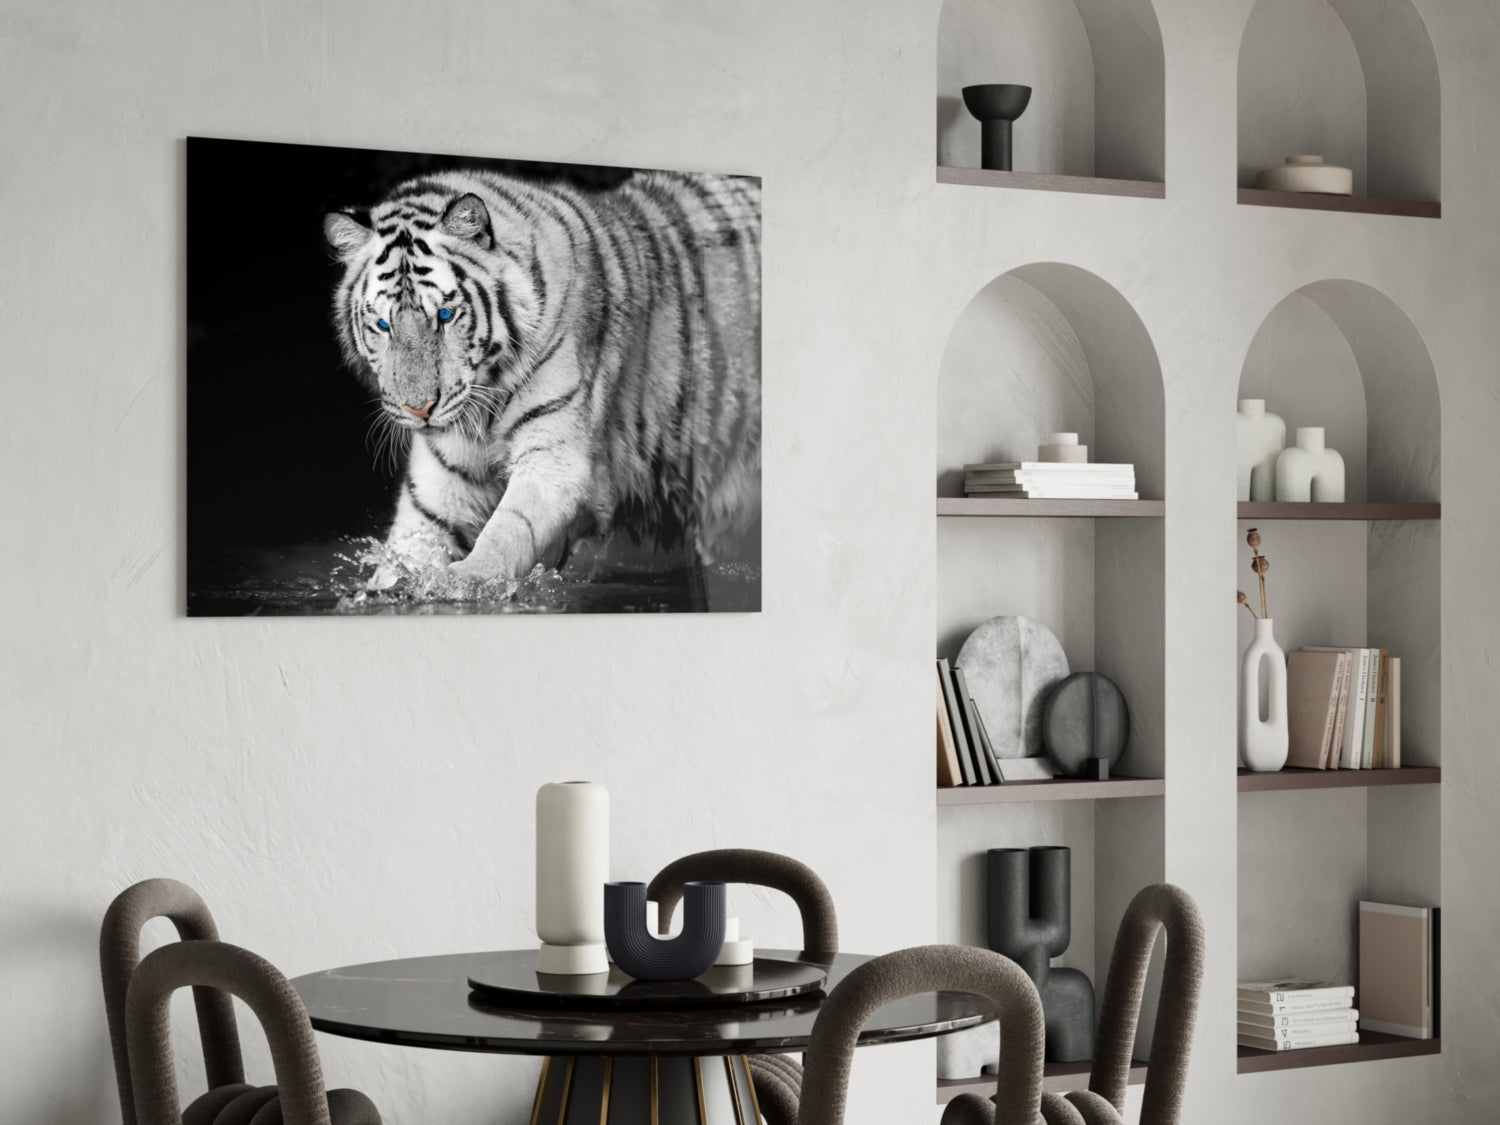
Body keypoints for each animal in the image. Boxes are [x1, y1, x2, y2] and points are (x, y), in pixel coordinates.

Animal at [322, 164, 761, 593]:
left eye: (445, 316)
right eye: (383, 325)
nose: (420, 409)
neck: (484, 401)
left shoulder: (555, 460)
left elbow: (508, 531)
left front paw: (463, 580)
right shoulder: (439, 482)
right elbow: (410, 546)